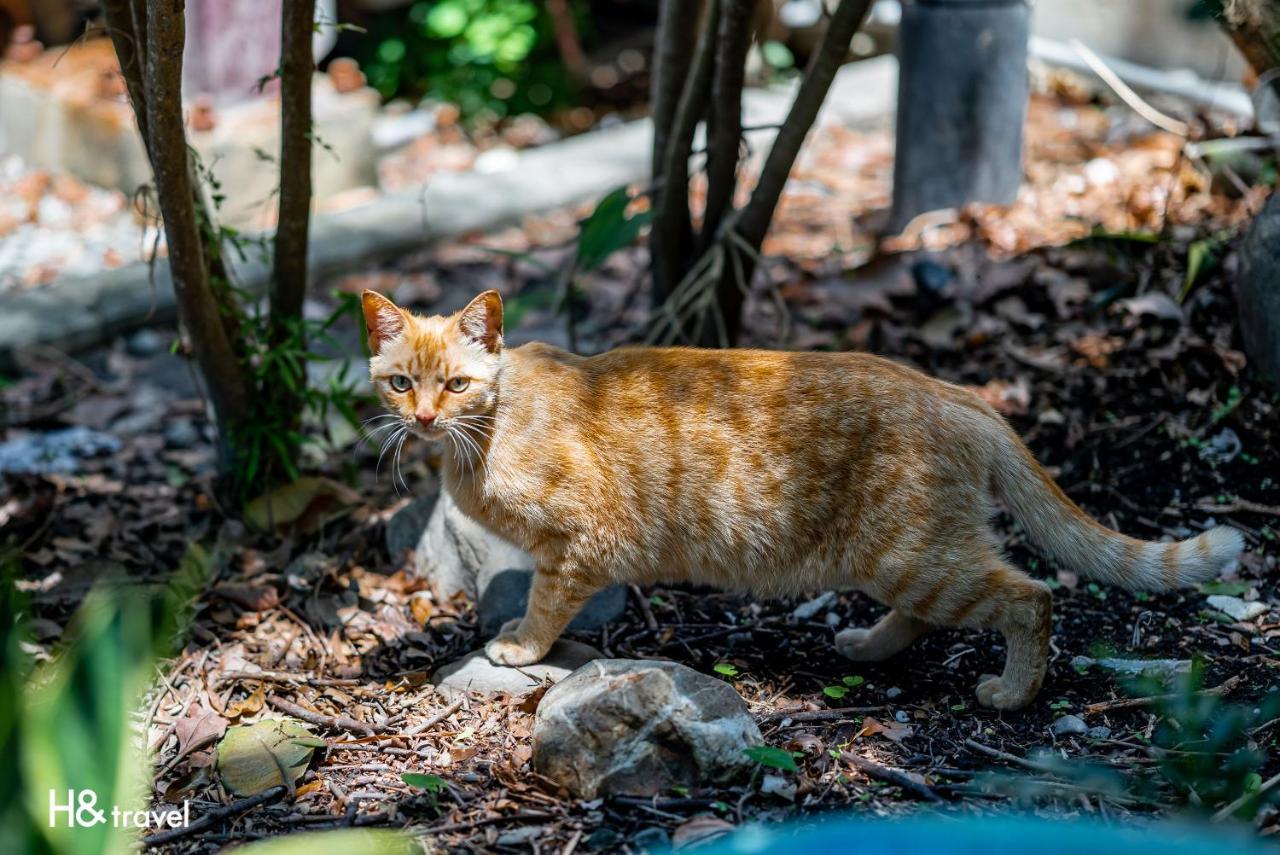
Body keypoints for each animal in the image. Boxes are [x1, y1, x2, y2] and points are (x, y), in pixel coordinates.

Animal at [366, 290, 1244, 711]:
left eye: (456, 384)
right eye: (401, 381)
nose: (424, 419)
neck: (486, 430)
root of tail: (963, 394)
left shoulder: (584, 544)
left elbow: (547, 606)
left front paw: (518, 645)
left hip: (912, 555)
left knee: (1031, 597)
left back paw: (1012, 692)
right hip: (911, 557)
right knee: (934, 611)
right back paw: (867, 645)